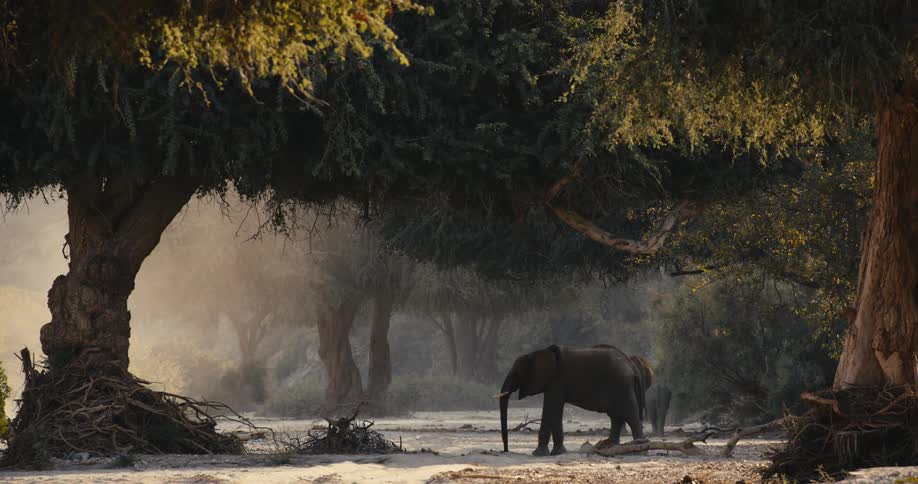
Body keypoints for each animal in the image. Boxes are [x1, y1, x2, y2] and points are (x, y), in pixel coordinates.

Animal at [497, 344, 653, 456]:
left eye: (516, 374)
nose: (505, 450)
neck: (541, 353)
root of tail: (631, 364)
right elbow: (555, 412)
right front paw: (558, 453)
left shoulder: (556, 382)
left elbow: (551, 409)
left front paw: (538, 454)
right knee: (617, 415)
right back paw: (611, 448)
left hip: (621, 384)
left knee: (630, 415)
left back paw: (640, 451)